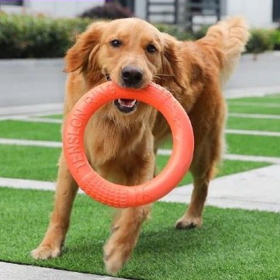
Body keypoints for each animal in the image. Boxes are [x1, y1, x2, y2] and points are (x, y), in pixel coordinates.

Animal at [32, 17, 249, 274]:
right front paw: (48, 247)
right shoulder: (72, 157)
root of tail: (199, 48)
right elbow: (62, 207)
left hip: (200, 146)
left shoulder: (143, 159)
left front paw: (118, 252)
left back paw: (192, 218)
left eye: (151, 48)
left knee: (202, 182)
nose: (132, 75)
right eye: (115, 43)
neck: (111, 117)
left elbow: (138, 209)